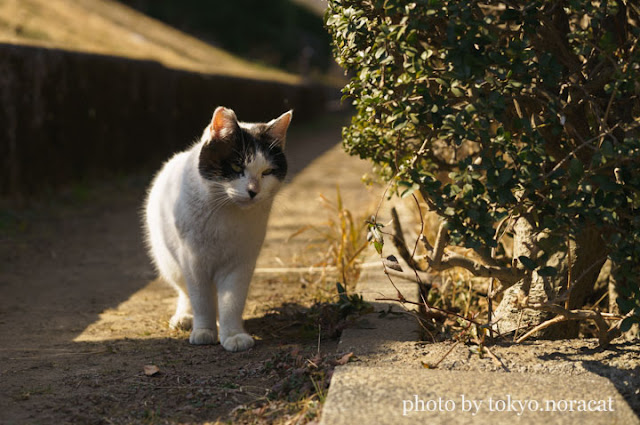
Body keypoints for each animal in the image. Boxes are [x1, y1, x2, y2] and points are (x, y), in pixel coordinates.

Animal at [144, 106, 292, 352]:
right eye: (236, 166)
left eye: (267, 172)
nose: (253, 191)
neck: (225, 212)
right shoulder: (193, 262)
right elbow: (201, 300)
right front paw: (204, 331)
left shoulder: (240, 264)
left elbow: (231, 301)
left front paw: (233, 334)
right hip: (170, 264)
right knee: (185, 292)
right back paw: (186, 318)